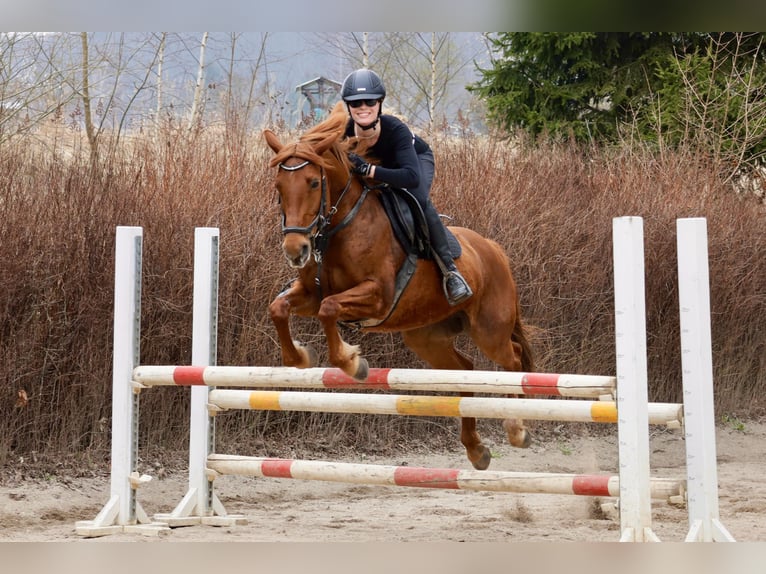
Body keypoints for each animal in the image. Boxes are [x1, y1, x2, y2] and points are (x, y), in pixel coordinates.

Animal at [263, 102, 535, 471]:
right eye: (279, 186)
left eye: (314, 182)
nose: (296, 251)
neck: (341, 227)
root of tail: (494, 249)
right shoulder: (309, 293)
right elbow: (279, 308)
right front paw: (302, 357)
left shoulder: (379, 296)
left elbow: (329, 309)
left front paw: (352, 363)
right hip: (427, 337)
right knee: (464, 371)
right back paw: (476, 450)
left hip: (490, 330)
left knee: (514, 359)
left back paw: (517, 429)